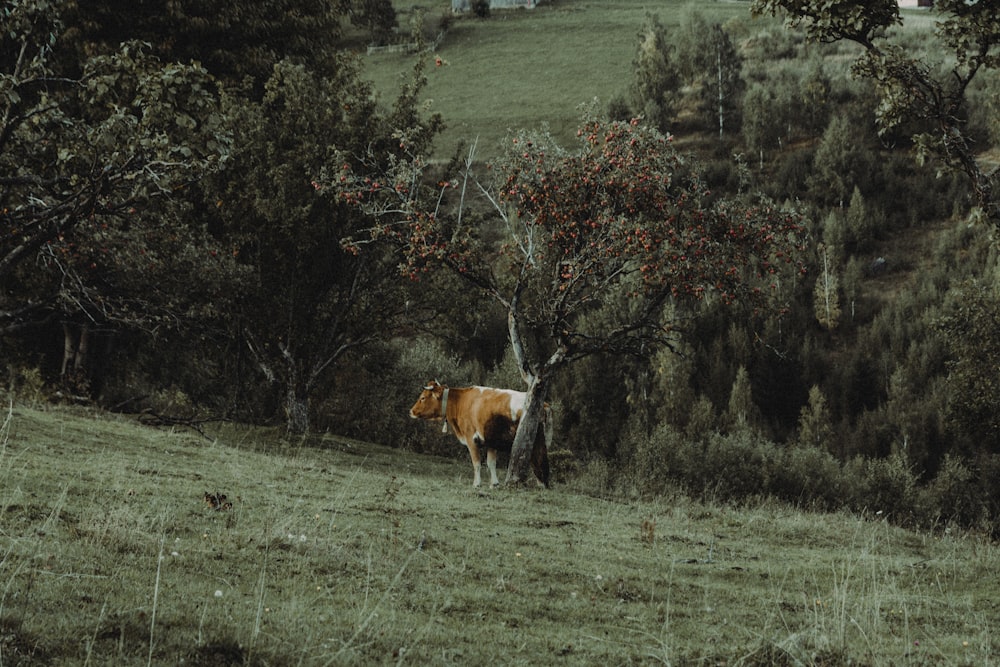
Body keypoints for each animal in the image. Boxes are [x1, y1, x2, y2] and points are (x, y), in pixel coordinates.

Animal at [408, 380, 556, 490]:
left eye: (422, 397)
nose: (411, 411)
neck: (461, 401)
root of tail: (544, 404)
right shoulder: (491, 442)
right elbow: (491, 463)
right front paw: (494, 484)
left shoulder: (471, 439)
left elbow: (477, 463)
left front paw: (476, 484)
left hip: (537, 444)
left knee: (540, 464)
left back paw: (542, 485)